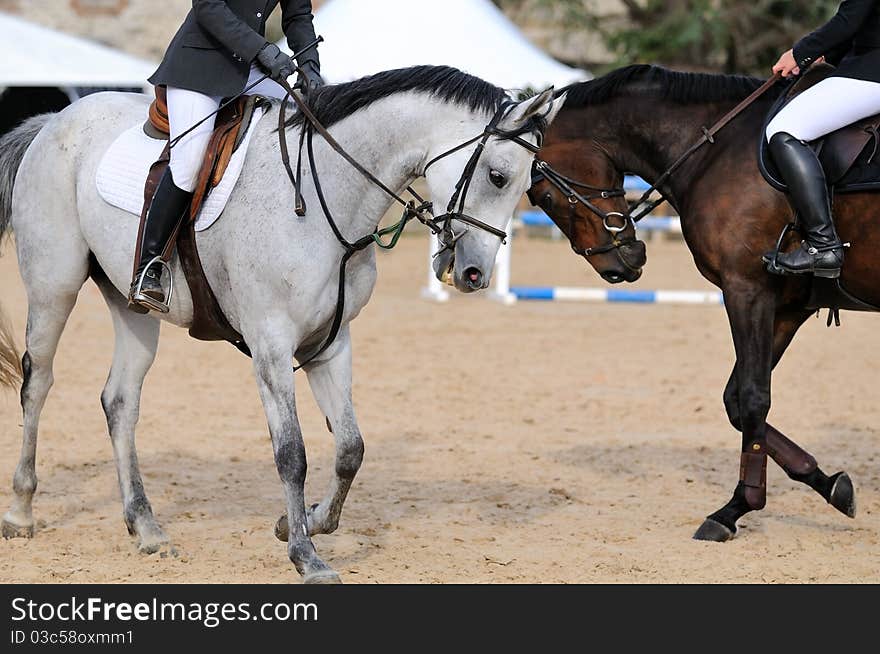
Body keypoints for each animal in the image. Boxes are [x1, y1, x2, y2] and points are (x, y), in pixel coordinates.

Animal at [0, 64, 564, 580]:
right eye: (497, 175)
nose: (474, 274)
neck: (325, 200)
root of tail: (54, 120)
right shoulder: (271, 343)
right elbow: (292, 453)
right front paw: (305, 556)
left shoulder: (330, 344)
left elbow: (350, 448)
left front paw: (306, 522)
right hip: (54, 287)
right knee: (38, 382)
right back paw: (22, 512)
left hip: (132, 306)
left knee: (120, 401)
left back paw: (146, 528)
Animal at [524, 66, 864, 544]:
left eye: (545, 197)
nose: (619, 265)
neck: (717, 147)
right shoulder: (786, 305)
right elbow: (737, 401)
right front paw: (830, 484)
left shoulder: (746, 290)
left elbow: (754, 398)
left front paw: (736, 507)